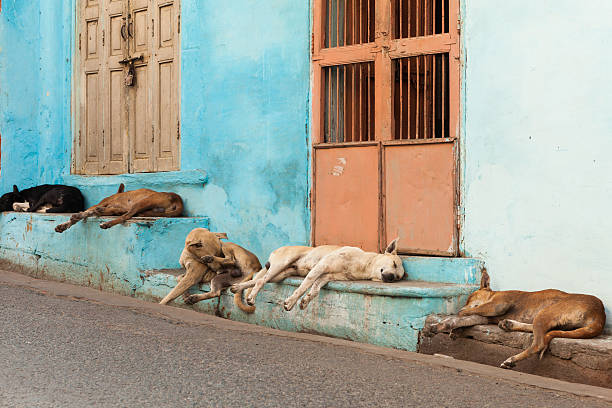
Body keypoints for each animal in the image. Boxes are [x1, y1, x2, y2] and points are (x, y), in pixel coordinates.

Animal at [55, 184, 183, 233]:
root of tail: (176, 198)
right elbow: (88, 213)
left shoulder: (104, 202)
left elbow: (86, 212)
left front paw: (70, 221)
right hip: (145, 208)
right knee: (127, 214)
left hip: (143, 202)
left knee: (125, 216)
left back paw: (107, 224)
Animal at [232, 237, 404, 310]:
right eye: (394, 264)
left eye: (398, 278)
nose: (390, 278)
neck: (362, 265)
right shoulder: (321, 266)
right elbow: (304, 286)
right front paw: (291, 301)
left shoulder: (326, 276)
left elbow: (315, 290)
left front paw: (305, 301)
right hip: (280, 264)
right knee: (261, 281)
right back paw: (251, 297)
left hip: (280, 274)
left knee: (257, 281)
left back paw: (236, 287)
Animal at [424, 270, 604, 370]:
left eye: (470, 298)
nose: (463, 304)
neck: (492, 295)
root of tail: (600, 315)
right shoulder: (484, 316)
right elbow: (460, 320)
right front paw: (444, 328)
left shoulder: (497, 305)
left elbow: (463, 314)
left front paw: (455, 319)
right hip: (552, 320)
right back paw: (509, 324)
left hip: (546, 313)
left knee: (538, 344)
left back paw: (511, 360)